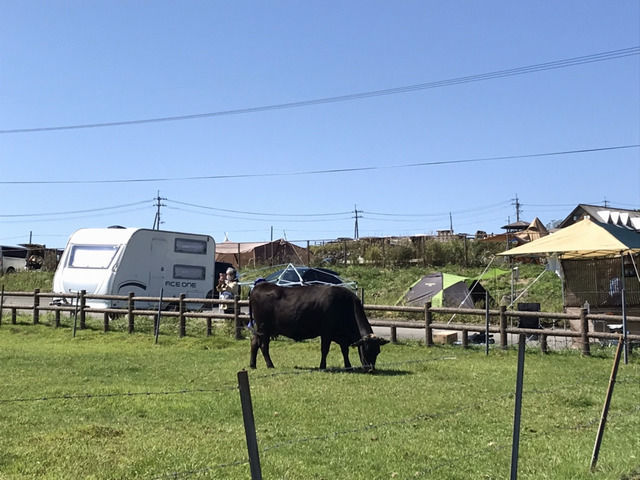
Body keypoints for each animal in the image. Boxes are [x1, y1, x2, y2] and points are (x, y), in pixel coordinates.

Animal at [249, 282, 390, 372]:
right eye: (366, 350)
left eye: (377, 351)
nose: (370, 369)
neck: (345, 305)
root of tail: (259, 286)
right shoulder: (326, 333)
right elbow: (325, 350)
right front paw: (322, 366)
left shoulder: (342, 337)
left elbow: (345, 351)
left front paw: (348, 365)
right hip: (264, 329)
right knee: (263, 346)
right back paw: (270, 365)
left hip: (260, 329)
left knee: (254, 342)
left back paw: (253, 365)